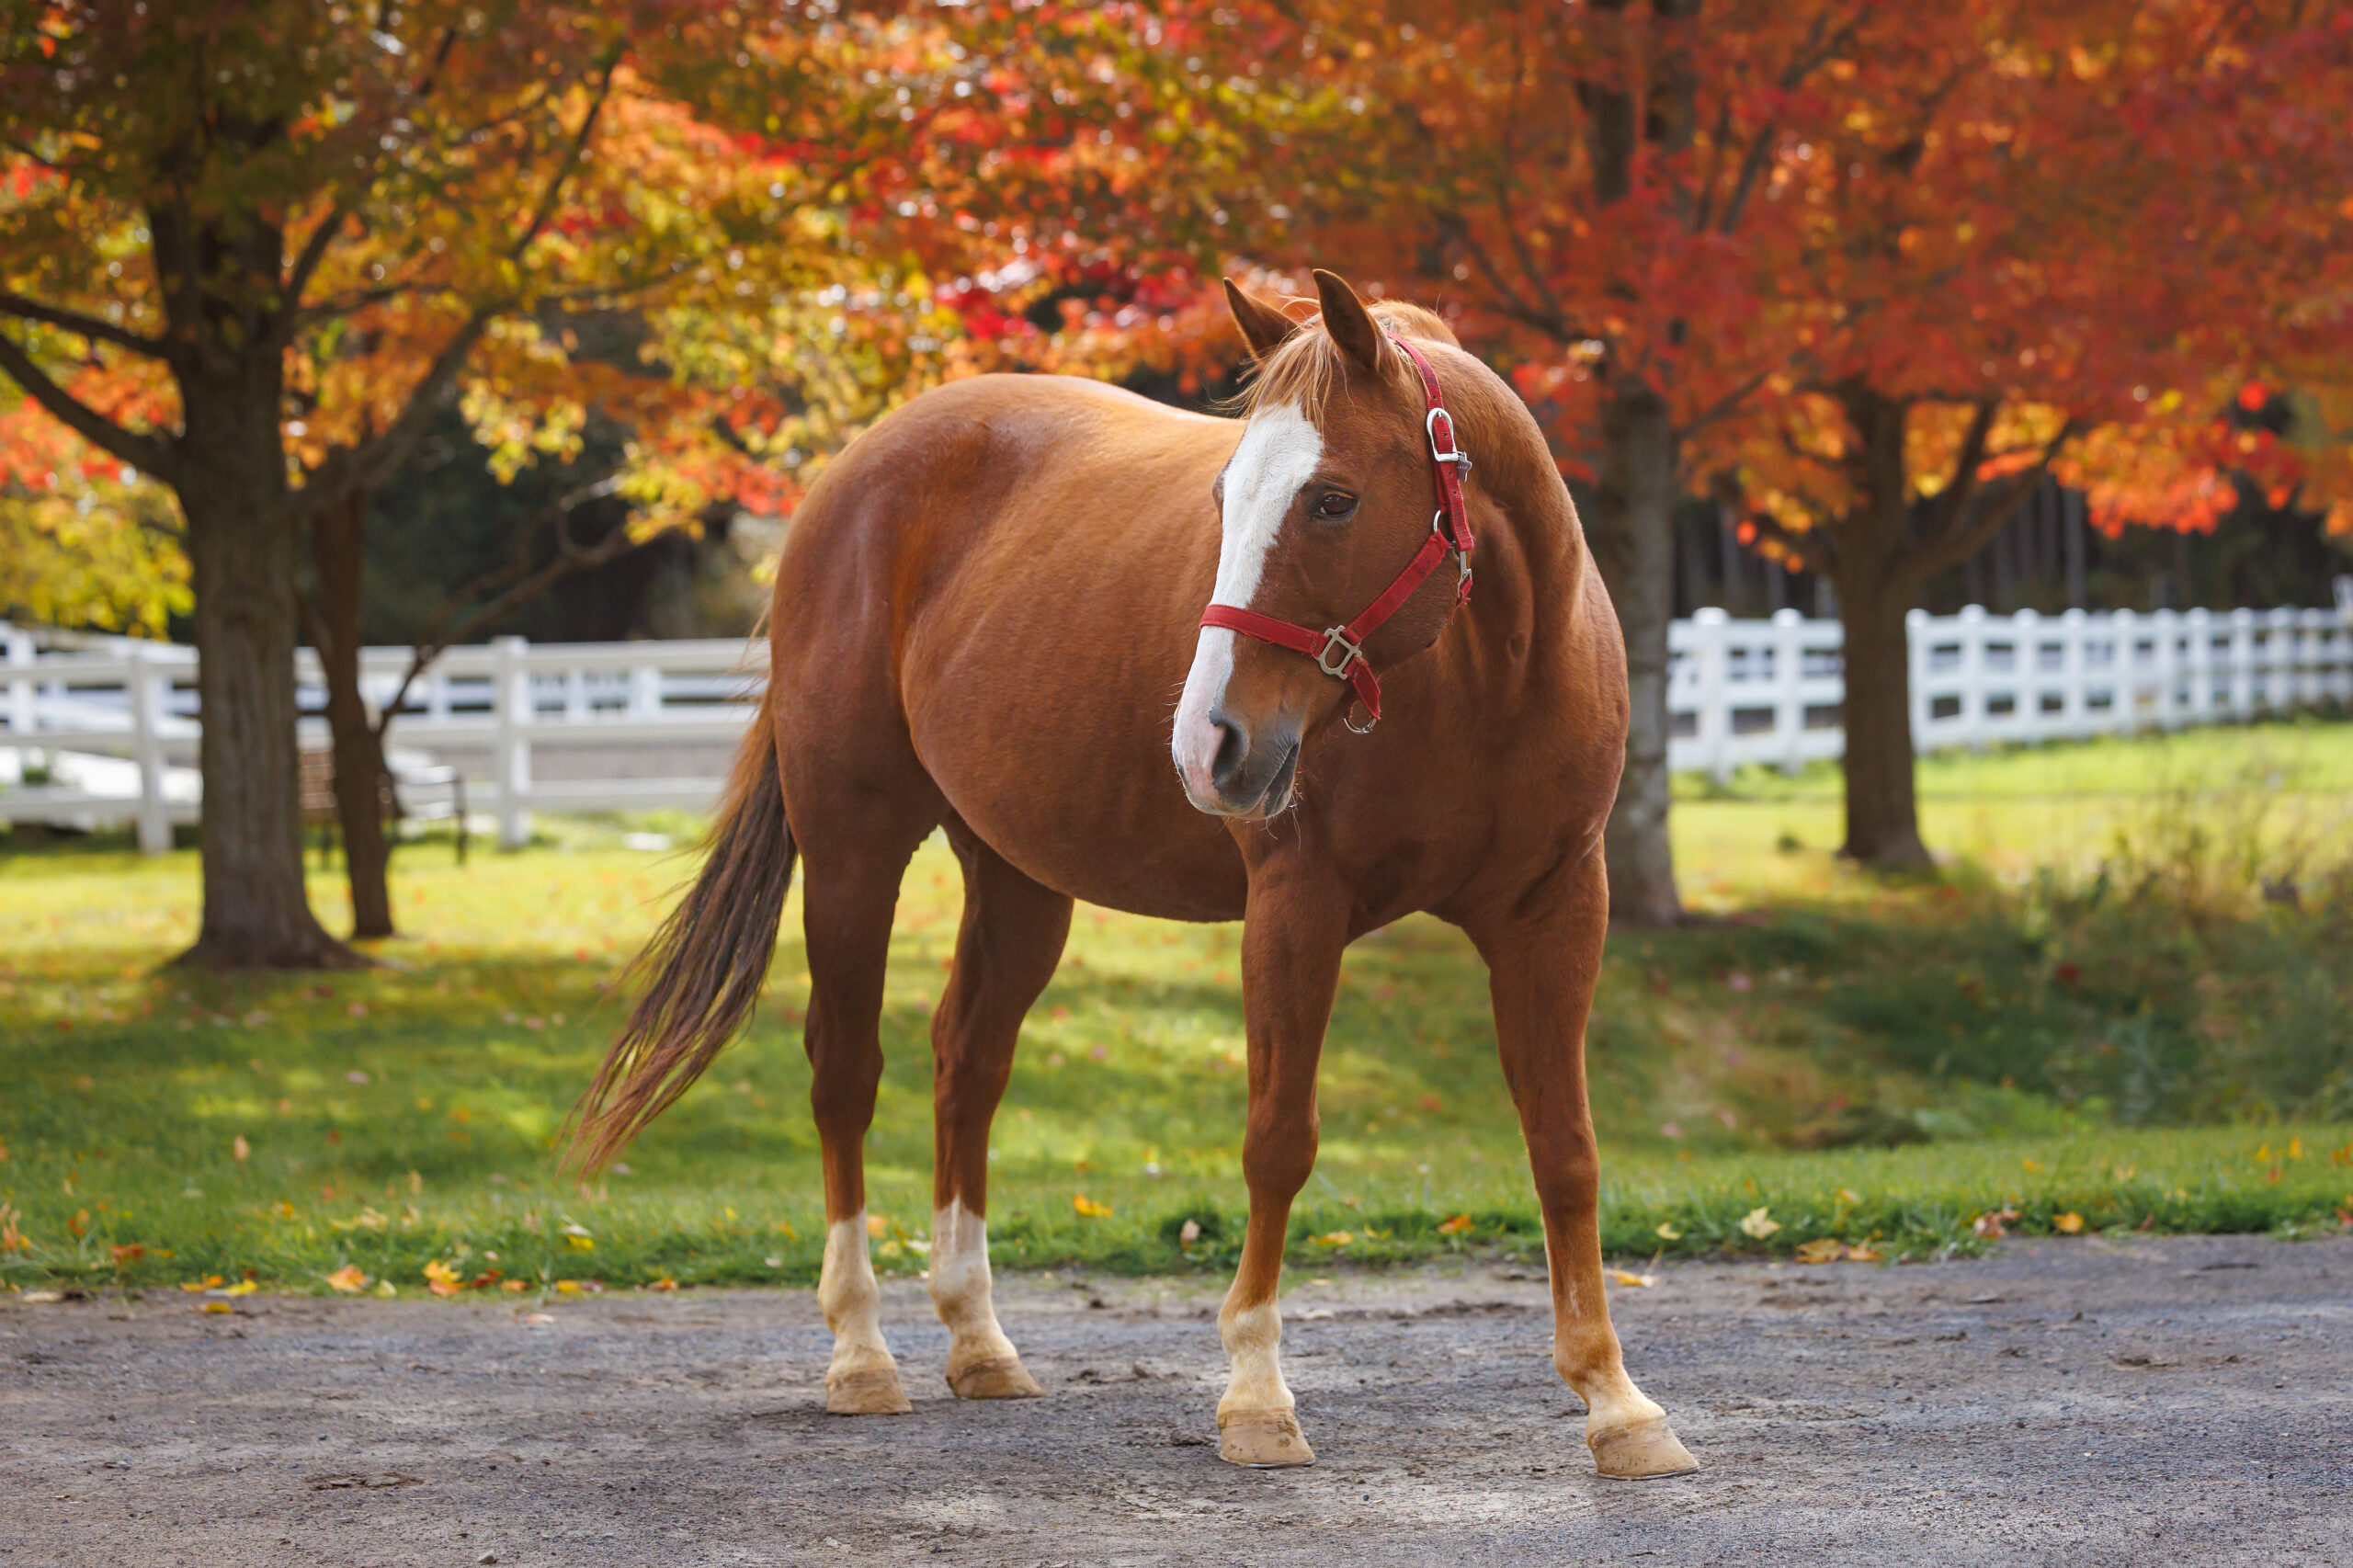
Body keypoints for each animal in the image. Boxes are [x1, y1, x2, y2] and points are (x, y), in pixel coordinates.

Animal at [569, 270, 1698, 1480]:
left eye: (1332, 500)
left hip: (1016, 879)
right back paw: (860, 1354)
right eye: (1224, 497)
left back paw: (978, 1339)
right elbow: (1277, 1139)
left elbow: (1565, 1149)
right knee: (846, 1072)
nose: (1210, 745)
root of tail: (854, 474)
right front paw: (1255, 1394)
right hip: (851, 850)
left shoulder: (1557, 910)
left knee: (967, 1062)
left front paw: (1617, 1401)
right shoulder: (1294, 910)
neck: (1487, 680)